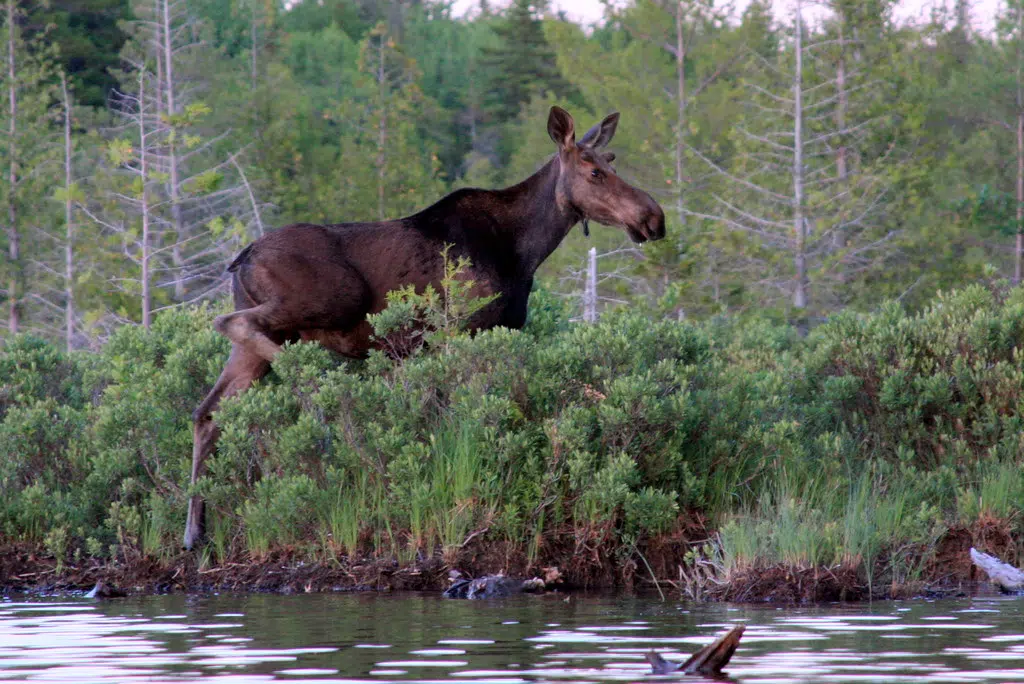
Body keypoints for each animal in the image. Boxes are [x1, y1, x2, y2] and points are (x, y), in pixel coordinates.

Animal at [184, 106, 667, 549]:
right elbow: (464, 421)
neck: (526, 249)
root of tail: (240, 258)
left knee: (207, 410)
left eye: (613, 160)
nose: (654, 217)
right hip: (331, 299)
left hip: (265, 338)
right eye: (593, 171)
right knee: (230, 325)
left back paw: (195, 530)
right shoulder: (463, 328)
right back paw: (316, 394)